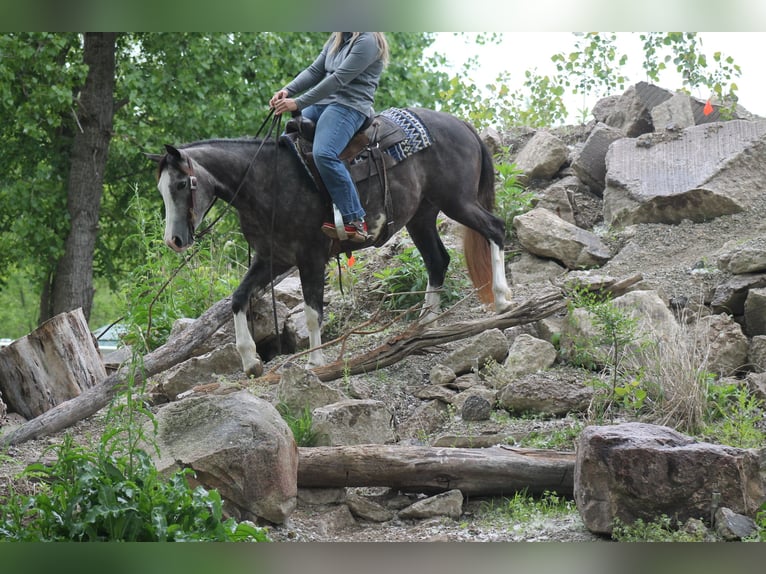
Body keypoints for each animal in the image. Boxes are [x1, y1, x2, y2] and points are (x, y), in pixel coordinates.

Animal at [149, 107, 512, 377]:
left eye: (181, 184)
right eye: (162, 189)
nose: (174, 240)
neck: (267, 179)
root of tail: (461, 124)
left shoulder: (310, 257)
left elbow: (313, 312)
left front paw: (315, 362)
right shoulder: (272, 258)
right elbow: (238, 298)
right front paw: (250, 361)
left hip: (458, 201)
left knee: (495, 230)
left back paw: (503, 299)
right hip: (421, 217)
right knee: (437, 261)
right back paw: (425, 323)